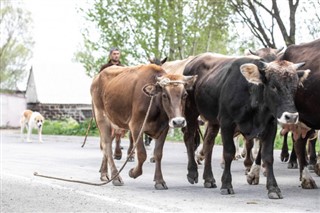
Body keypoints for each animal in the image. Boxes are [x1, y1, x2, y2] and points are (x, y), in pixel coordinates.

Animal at [182, 52, 310, 199]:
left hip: (213, 120)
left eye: (295, 87)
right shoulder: (226, 122)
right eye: (273, 86)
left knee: (208, 143)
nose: (291, 116)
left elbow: (268, 156)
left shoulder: (270, 126)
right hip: (190, 110)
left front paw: (273, 188)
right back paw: (192, 172)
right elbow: (229, 152)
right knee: (189, 138)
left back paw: (209, 178)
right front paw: (226, 185)